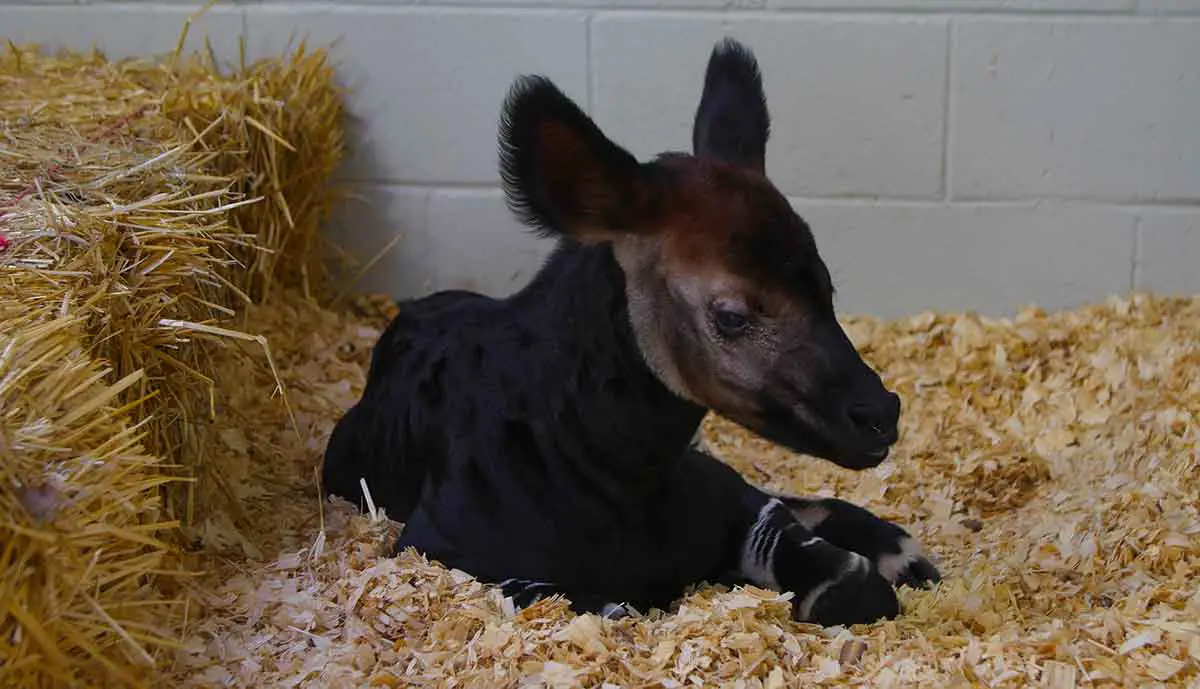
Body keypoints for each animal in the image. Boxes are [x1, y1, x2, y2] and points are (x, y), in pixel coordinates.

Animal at [324, 39, 940, 633]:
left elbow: (837, 573)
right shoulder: (438, 548)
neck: (620, 479)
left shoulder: (726, 499)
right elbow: (601, 607)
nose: (881, 413)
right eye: (732, 315)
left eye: (827, 289)